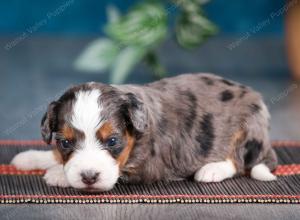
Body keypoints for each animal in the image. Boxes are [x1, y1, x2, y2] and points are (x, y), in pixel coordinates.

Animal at [11, 73, 278, 191]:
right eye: (65, 143)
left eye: (113, 140)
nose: (88, 177)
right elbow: (54, 155)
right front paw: (31, 158)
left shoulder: (148, 165)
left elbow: (117, 171)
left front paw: (58, 174)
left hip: (248, 128)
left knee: (239, 161)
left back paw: (211, 170)